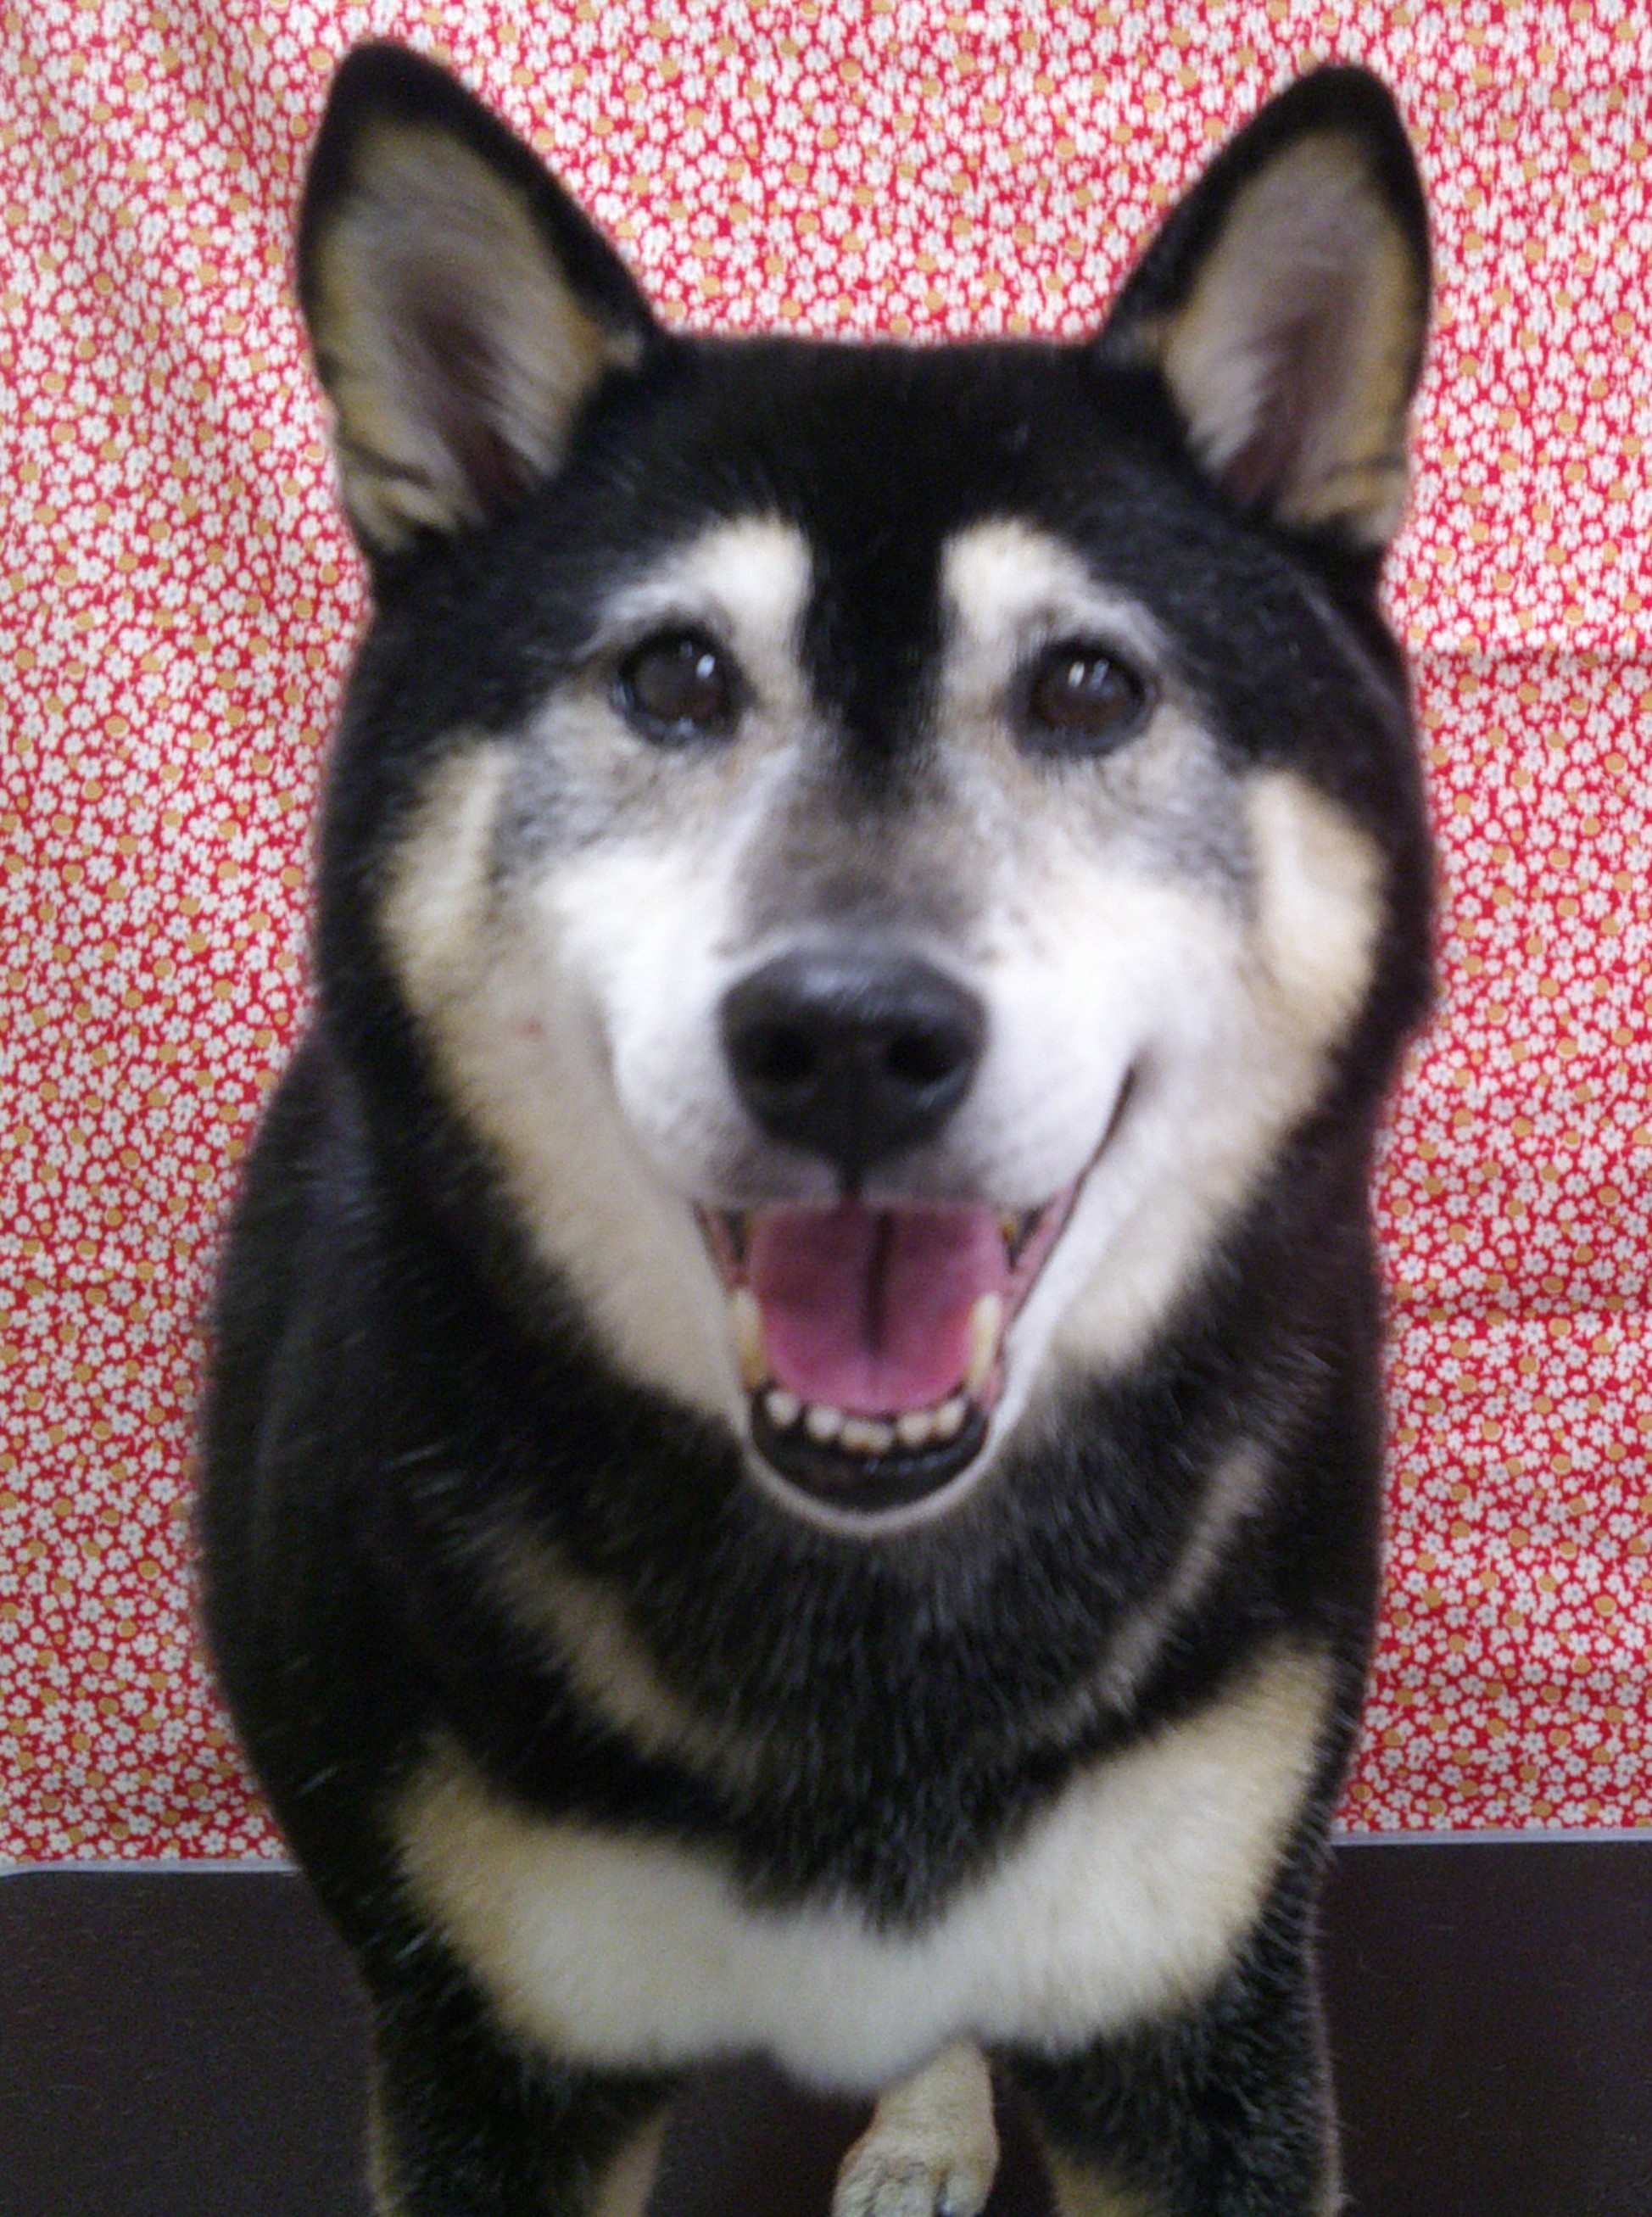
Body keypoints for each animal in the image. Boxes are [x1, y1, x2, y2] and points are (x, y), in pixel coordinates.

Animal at [200, 43, 1432, 2217]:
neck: (877, 1622)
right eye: (676, 676)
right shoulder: (489, 2051)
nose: (851, 1037)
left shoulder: (1192, 2005)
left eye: (1086, 686)